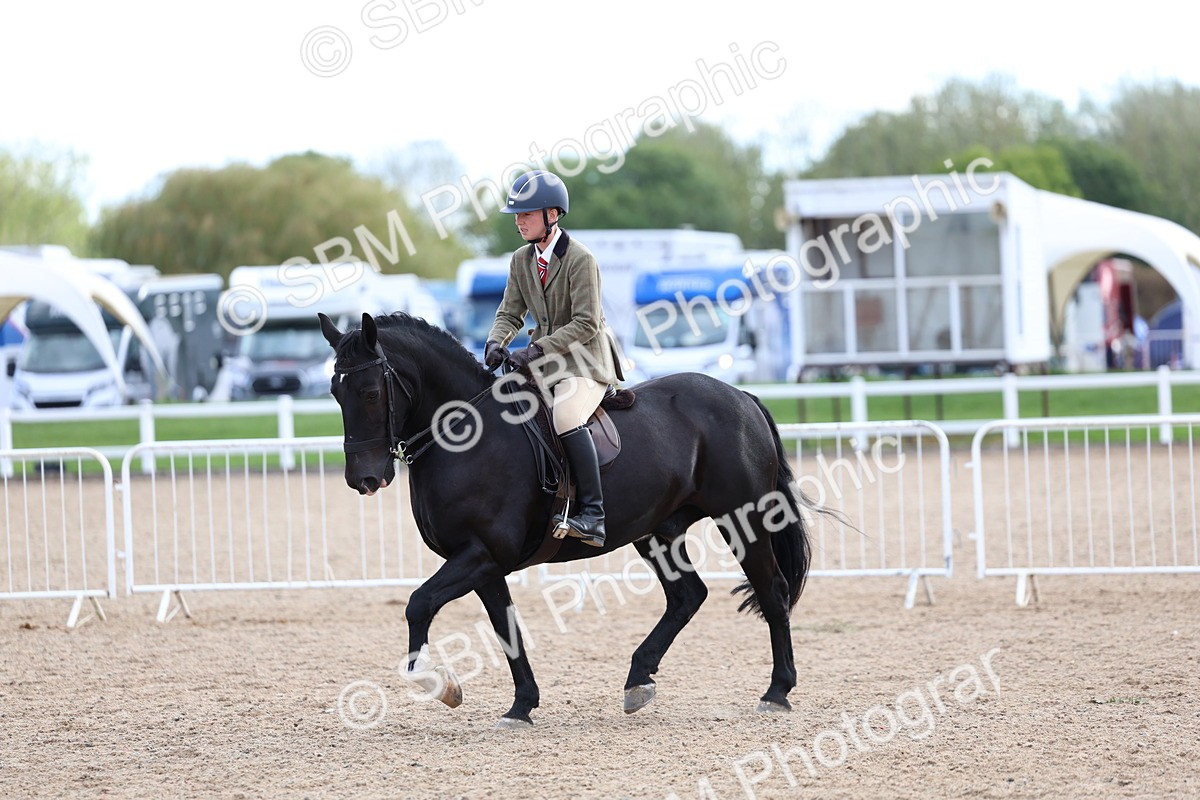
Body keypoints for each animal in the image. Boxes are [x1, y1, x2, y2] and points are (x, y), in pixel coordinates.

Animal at [318, 311, 811, 727]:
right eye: (335, 393)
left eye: (369, 393)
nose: (363, 478)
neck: (465, 435)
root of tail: (740, 396)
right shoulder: (483, 563)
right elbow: (506, 629)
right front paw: (521, 706)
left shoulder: (480, 553)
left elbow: (418, 604)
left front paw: (442, 687)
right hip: (658, 531)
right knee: (688, 596)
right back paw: (638, 681)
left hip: (742, 518)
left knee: (772, 590)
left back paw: (776, 692)